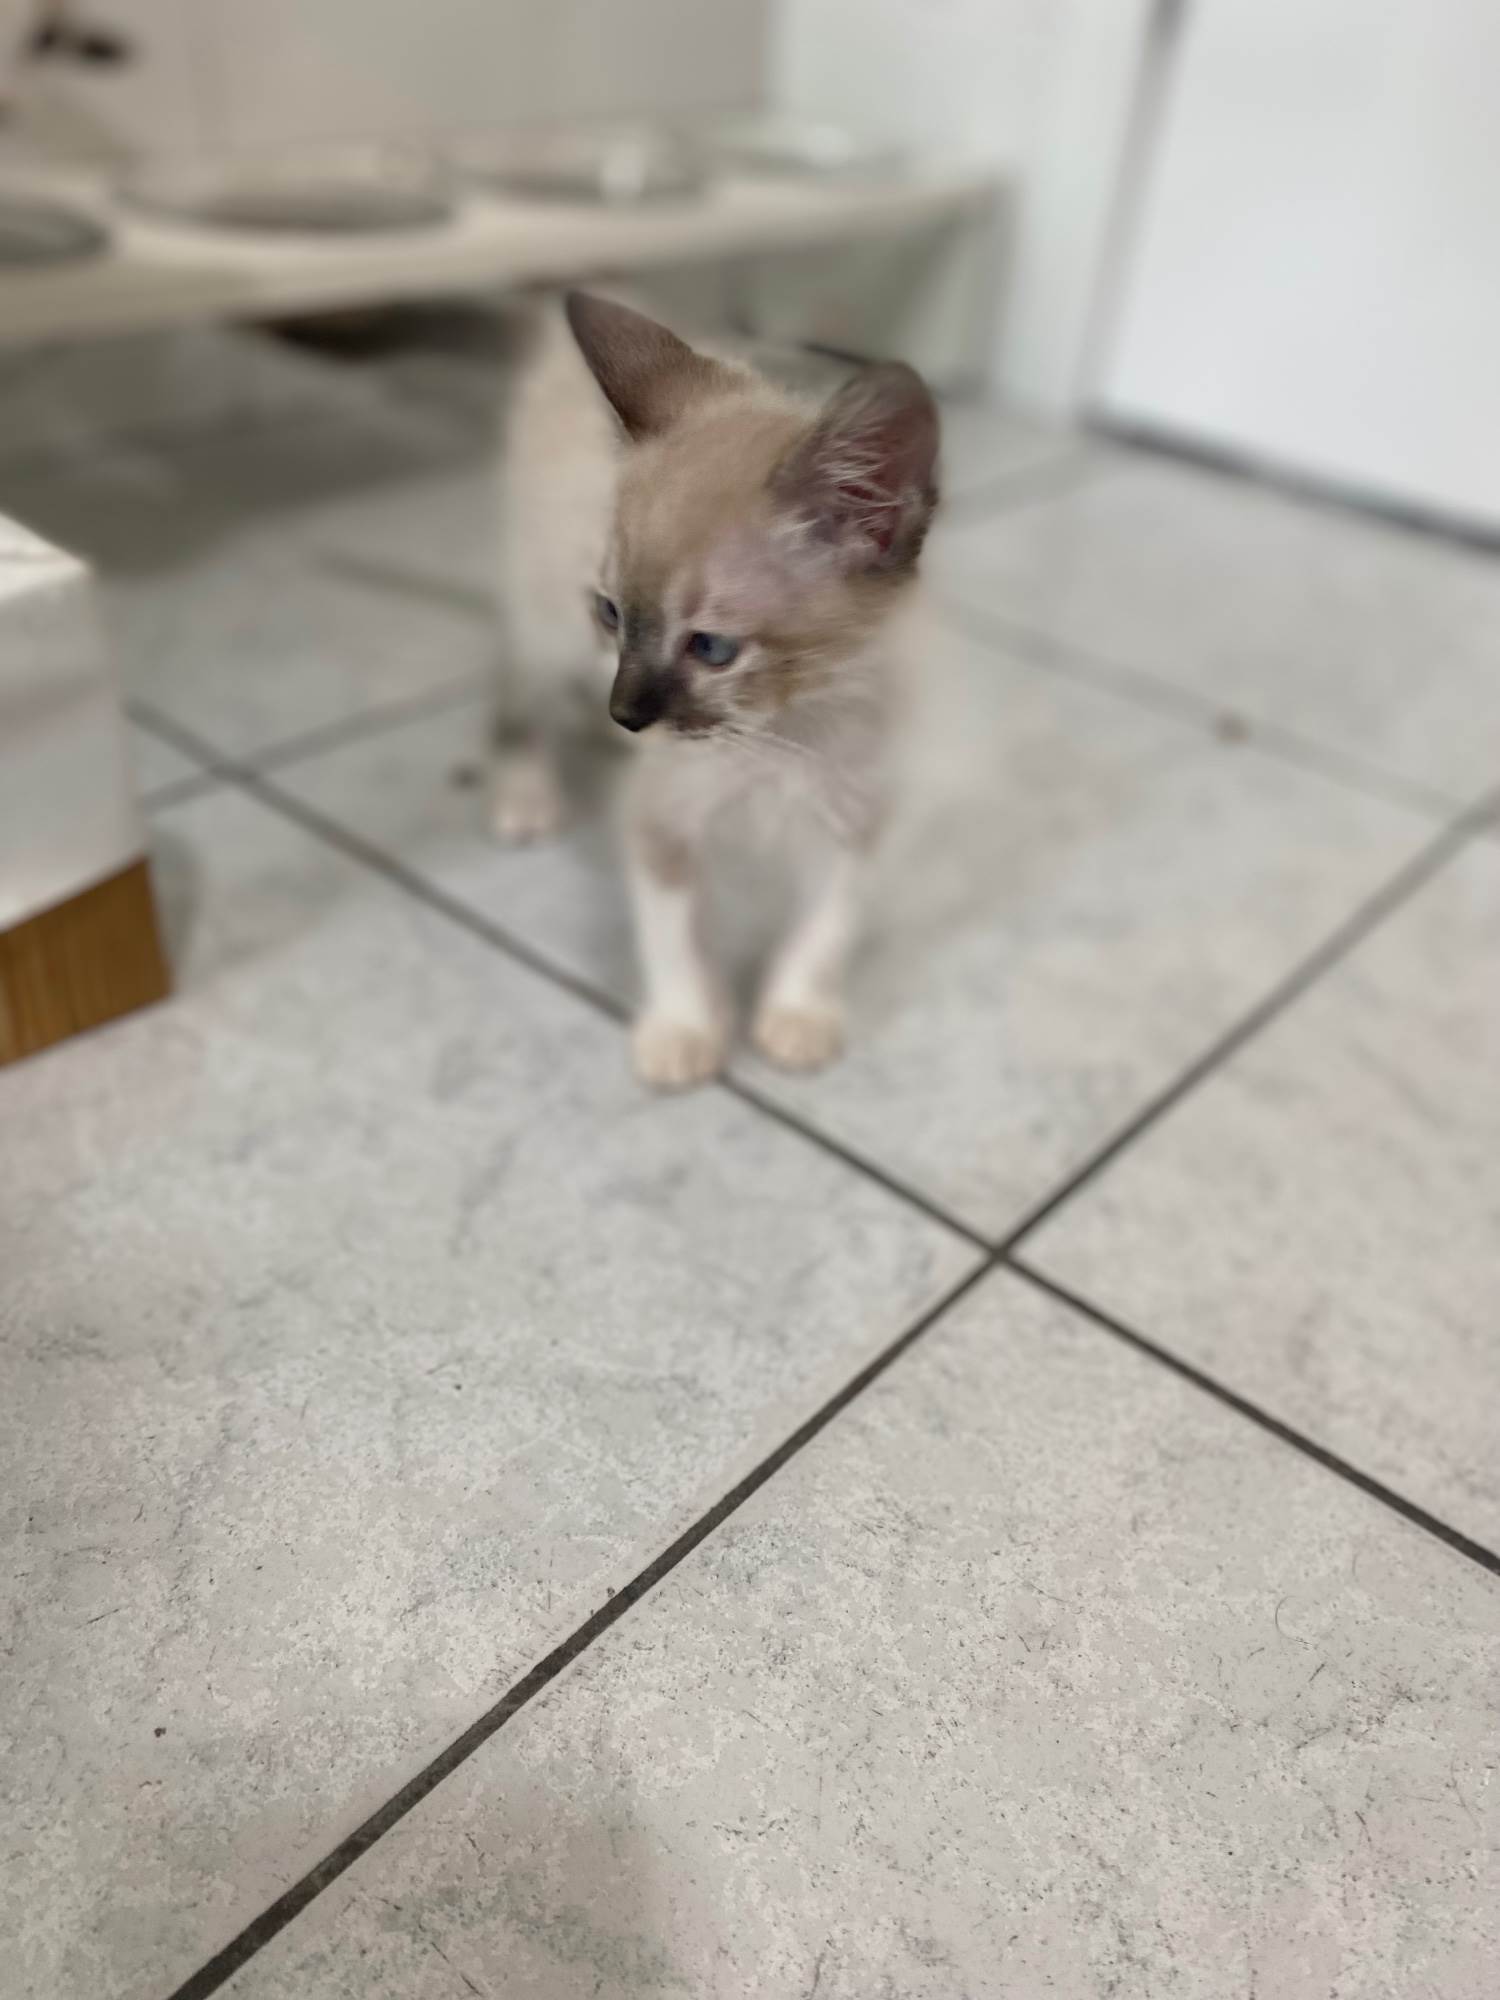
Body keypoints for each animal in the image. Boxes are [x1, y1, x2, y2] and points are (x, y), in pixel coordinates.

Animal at [492, 290, 940, 1090]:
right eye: (611, 613)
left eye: (711, 648)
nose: (625, 715)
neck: (781, 734)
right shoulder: (662, 817)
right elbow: (675, 934)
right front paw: (685, 1028)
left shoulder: (853, 818)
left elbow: (826, 927)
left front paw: (796, 1016)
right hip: (539, 621)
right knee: (517, 687)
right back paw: (525, 793)